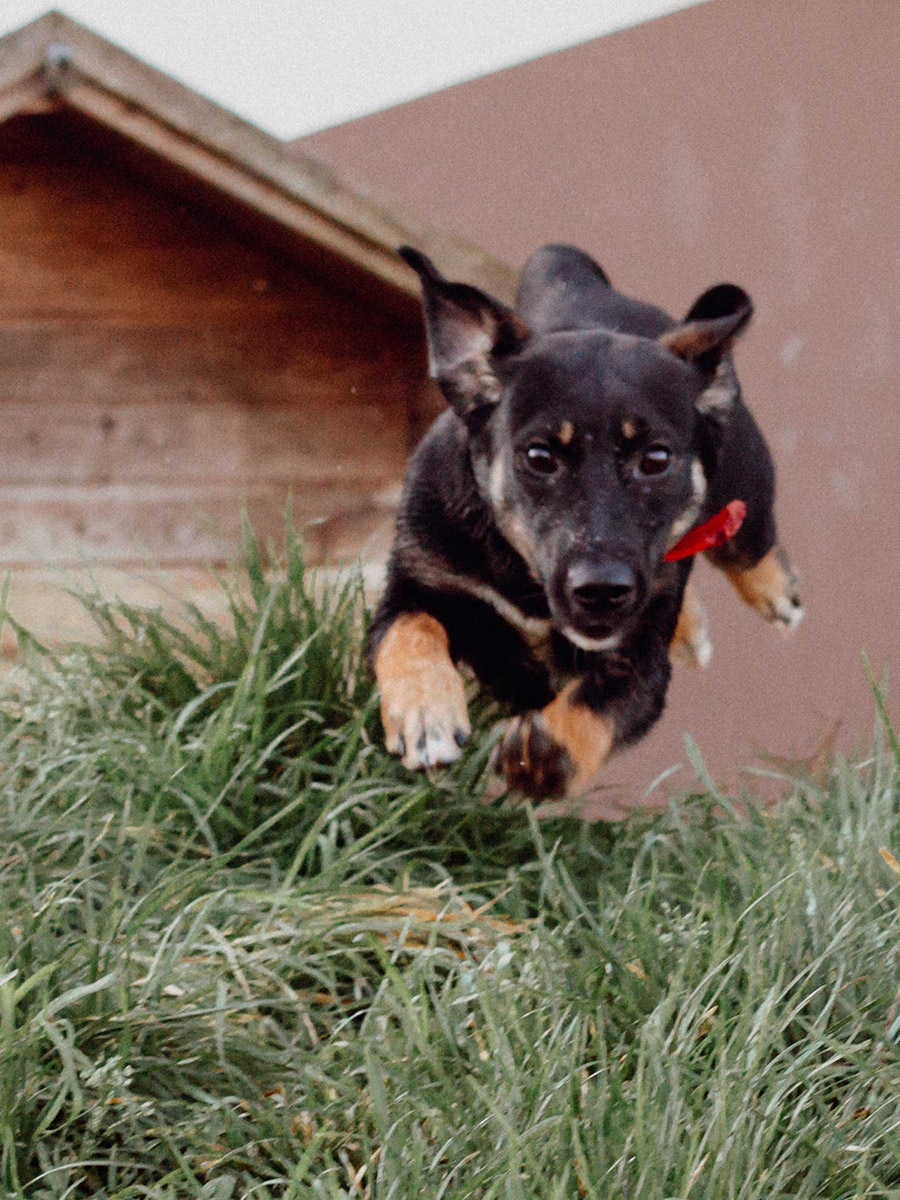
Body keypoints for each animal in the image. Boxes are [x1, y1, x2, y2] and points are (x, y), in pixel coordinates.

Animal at [367, 242, 801, 796]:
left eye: (656, 459)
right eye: (539, 456)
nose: (601, 590)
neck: (525, 578)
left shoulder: (641, 661)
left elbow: (600, 705)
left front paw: (542, 753)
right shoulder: (415, 580)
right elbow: (409, 632)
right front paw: (427, 715)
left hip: (744, 475)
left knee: (748, 539)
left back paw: (775, 594)